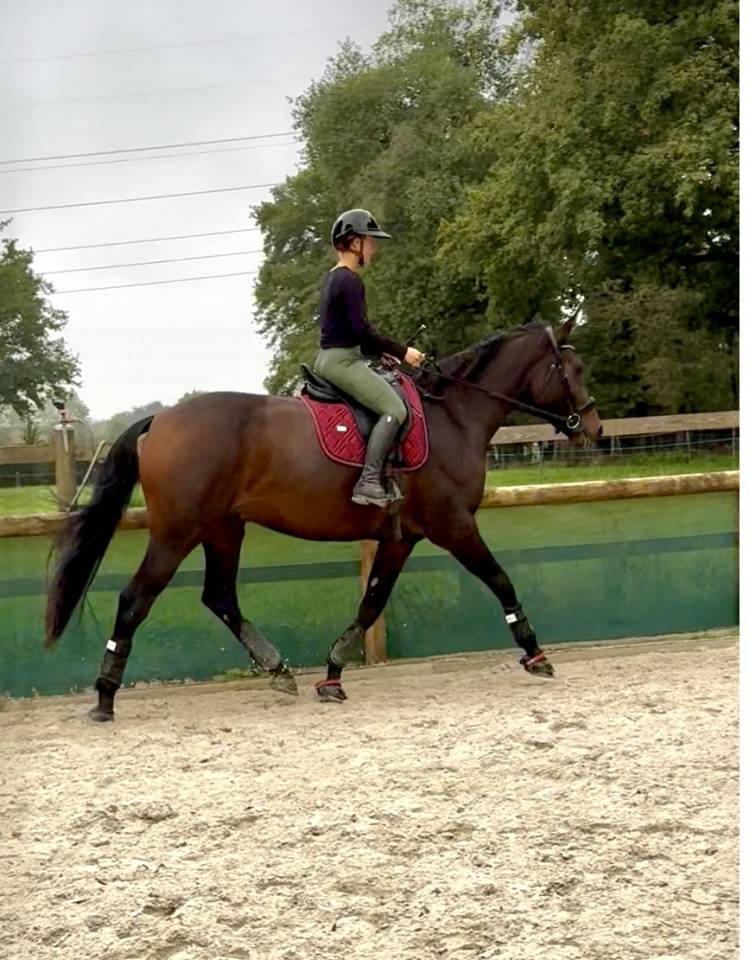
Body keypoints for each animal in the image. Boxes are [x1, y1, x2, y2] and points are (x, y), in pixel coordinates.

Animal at [45, 318, 602, 720]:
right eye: (573, 371)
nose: (593, 427)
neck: (454, 417)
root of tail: (161, 419)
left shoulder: (402, 537)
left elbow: (371, 604)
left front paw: (333, 673)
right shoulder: (454, 525)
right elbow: (500, 578)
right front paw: (535, 654)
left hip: (223, 528)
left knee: (220, 597)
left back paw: (278, 670)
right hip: (177, 531)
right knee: (136, 599)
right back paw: (104, 697)